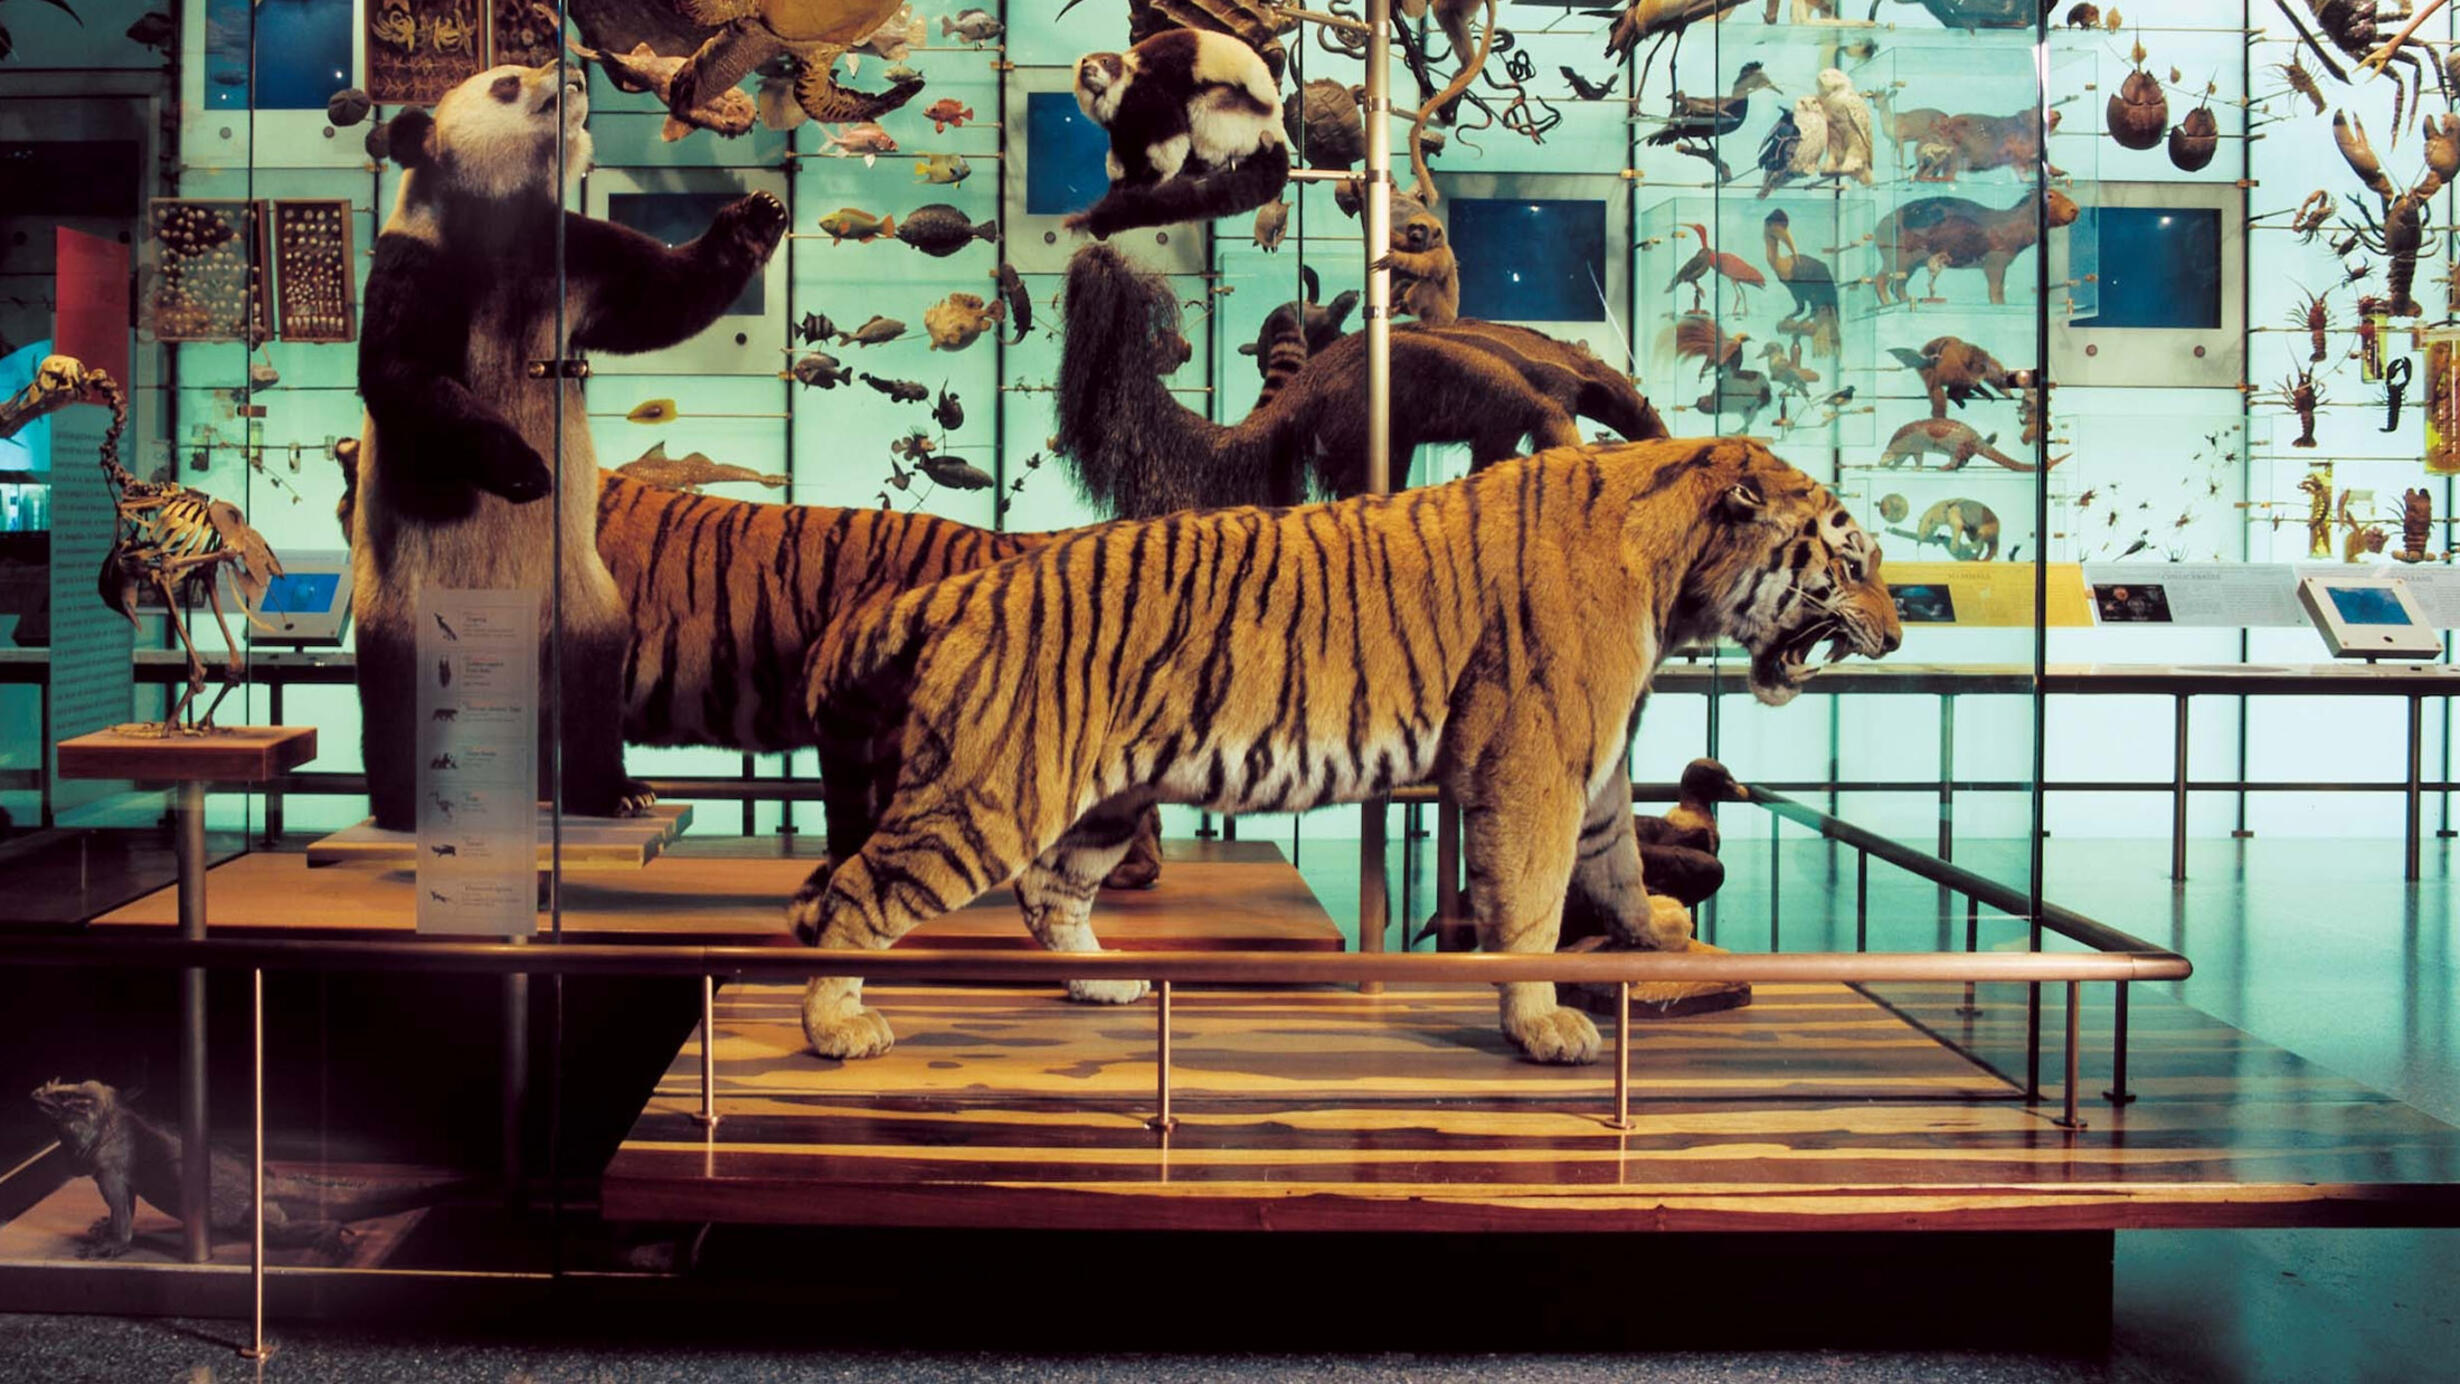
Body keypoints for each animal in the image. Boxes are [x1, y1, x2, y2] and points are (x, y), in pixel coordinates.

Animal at [351, 65, 777, 830]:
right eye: (506, 83)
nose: (574, 74)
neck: (502, 214)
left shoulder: (577, 256)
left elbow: (661, 298)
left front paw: (756, 218)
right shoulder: (417, 262)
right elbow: (402, 375)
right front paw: (523, 468)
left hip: (579, 595)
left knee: (589, 681)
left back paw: (610, 791)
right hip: (404, 594)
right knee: (396, 688)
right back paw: (404, 805)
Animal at [787, 437, 1899, 1066]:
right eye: (1849, 559)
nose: (1894, 635)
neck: (1677, 577)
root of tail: (964, 586)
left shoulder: (1593, 768)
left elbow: (1618, 865)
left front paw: (1652, 942)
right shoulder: (1535, 761)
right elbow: (1533, 905)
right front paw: (1541, 1027)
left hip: (1101, 800)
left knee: (1048, 892)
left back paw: (1107, 982)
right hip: (985, 798)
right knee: (856, 893)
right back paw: (835, 1028)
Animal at [1057, 240, 1672, 516]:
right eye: (1643, 415)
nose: (1663, 439)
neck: (1562, 360)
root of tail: (1309, 386)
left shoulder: (1500, 409)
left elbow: (1492, 450)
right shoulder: (1522, 386)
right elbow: (1551, 431)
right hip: (1355, 416)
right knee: (1354, 475)